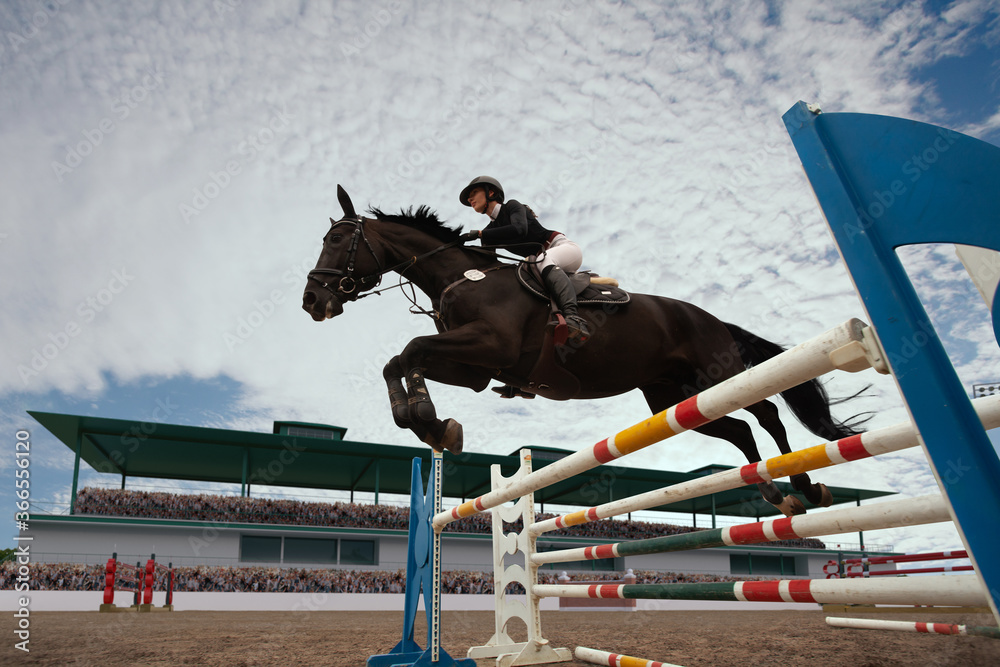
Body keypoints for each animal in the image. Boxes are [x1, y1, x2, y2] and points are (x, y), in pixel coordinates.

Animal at [298, 185, 868, 520]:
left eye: (337, 241)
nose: (312, 301)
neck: (462, 276)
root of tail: (711, 318)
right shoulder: (475, 366)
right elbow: (402, 360)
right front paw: (432, 425)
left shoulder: (491, 343)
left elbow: (411, 349)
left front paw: (427, 420)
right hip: (671, 398)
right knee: (739, 430)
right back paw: (775, 492)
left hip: (715, 376)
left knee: (767, 412)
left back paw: (805, 486)